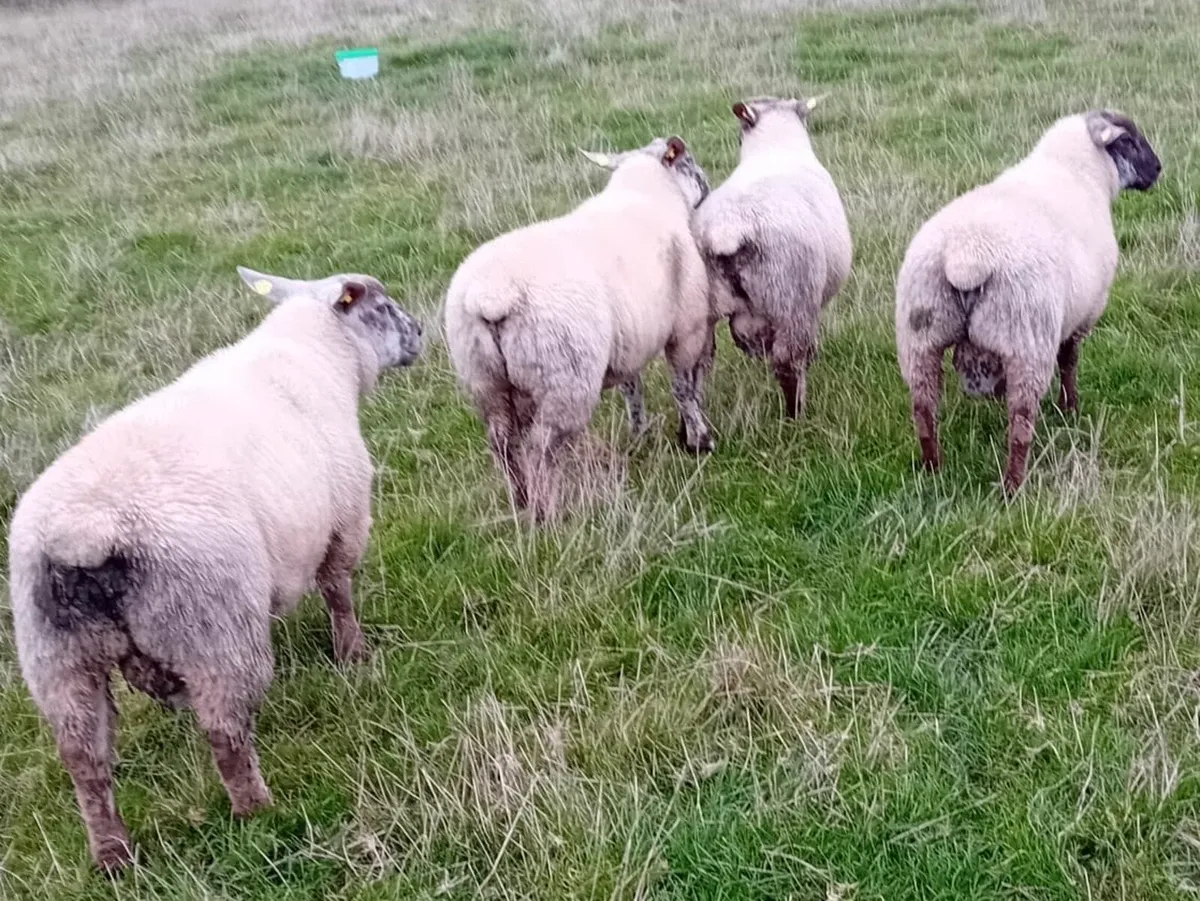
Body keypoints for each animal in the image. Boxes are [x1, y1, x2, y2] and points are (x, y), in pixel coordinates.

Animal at [6, 266, 422, 871]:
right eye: (384, 306)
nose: (420, 334)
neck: (320, 354)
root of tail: (85, 529)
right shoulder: (343, 521)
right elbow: (338, 593)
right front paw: (354, 655)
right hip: (213, 626)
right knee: (225, 733)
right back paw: (257, 811)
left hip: (58, 657)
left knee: (85, 759)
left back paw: (113, 856)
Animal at [443, 135, 713, 522]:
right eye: (688, 162)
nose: (707, 185)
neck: (648, 192)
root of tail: (492, 295)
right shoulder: (686, 327)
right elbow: (683, 390)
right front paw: (699, 439)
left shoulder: (628, 342)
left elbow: (633, 391)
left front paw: (639, 434)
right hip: (566, 379)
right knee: (542, 448)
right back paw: (546, 514)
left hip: (485, 380)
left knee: (503, 443)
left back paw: (521, 499)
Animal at [695, 95, 853, 419]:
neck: (775, 146)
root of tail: (727, 228)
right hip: (791, 299)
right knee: (788, 361)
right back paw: (795, 415)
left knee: (696, 368)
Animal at [895, 109, 1162, 494]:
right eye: (1129, 141)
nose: (1157, 169)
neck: (1080, 172)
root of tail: (966, 257)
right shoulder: (1081, 316)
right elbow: (1069, 361)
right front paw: (1070, 408)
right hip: (1026, 341)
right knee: (1021, 422)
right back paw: (1013, 486)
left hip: (920, 336)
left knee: (923, 410)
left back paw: (933, 469)